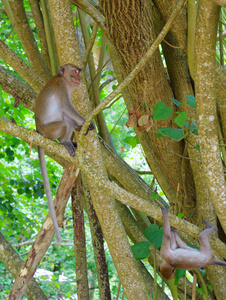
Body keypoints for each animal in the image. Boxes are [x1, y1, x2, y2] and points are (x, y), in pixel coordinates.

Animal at [34, 63, 95, 241]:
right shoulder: (61, 88)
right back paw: (65, 142)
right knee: (64, 123)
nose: (79, 78)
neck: (64, 80)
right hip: (50, 130)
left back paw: (74, 136)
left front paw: (81, 126)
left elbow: (67, 111)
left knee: (65, 118)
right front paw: (85, 121)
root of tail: (38, 129)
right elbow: (67, 107)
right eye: (74, 72)